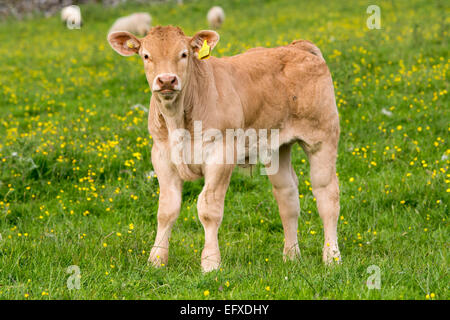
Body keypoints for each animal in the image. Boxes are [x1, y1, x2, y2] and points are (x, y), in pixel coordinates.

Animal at [108, 26, 342, 272]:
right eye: (146, 56)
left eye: (184, 54)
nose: (166, 80)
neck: (178, 120)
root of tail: (297, 46)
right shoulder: (161, 156)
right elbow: (166, 210)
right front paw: (156, 260)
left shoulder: (221, 154)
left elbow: (208, 209)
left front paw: (210, 263)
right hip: (277, 147)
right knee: (287, 196)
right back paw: (291, 256)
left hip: (322, 137)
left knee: (327, 195)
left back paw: (332, 257)